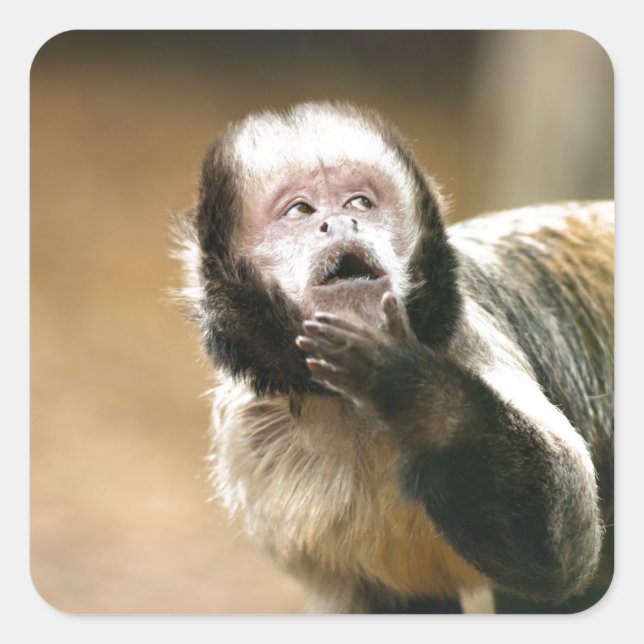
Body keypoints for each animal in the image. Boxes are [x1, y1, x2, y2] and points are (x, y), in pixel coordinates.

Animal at [174, 101, 613, 614]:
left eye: (359, 203)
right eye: (301, 210)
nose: (340, 223)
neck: (349, 404)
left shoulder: (467, 338)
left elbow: (563, 550)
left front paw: (409, 387)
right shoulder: (250, 434)